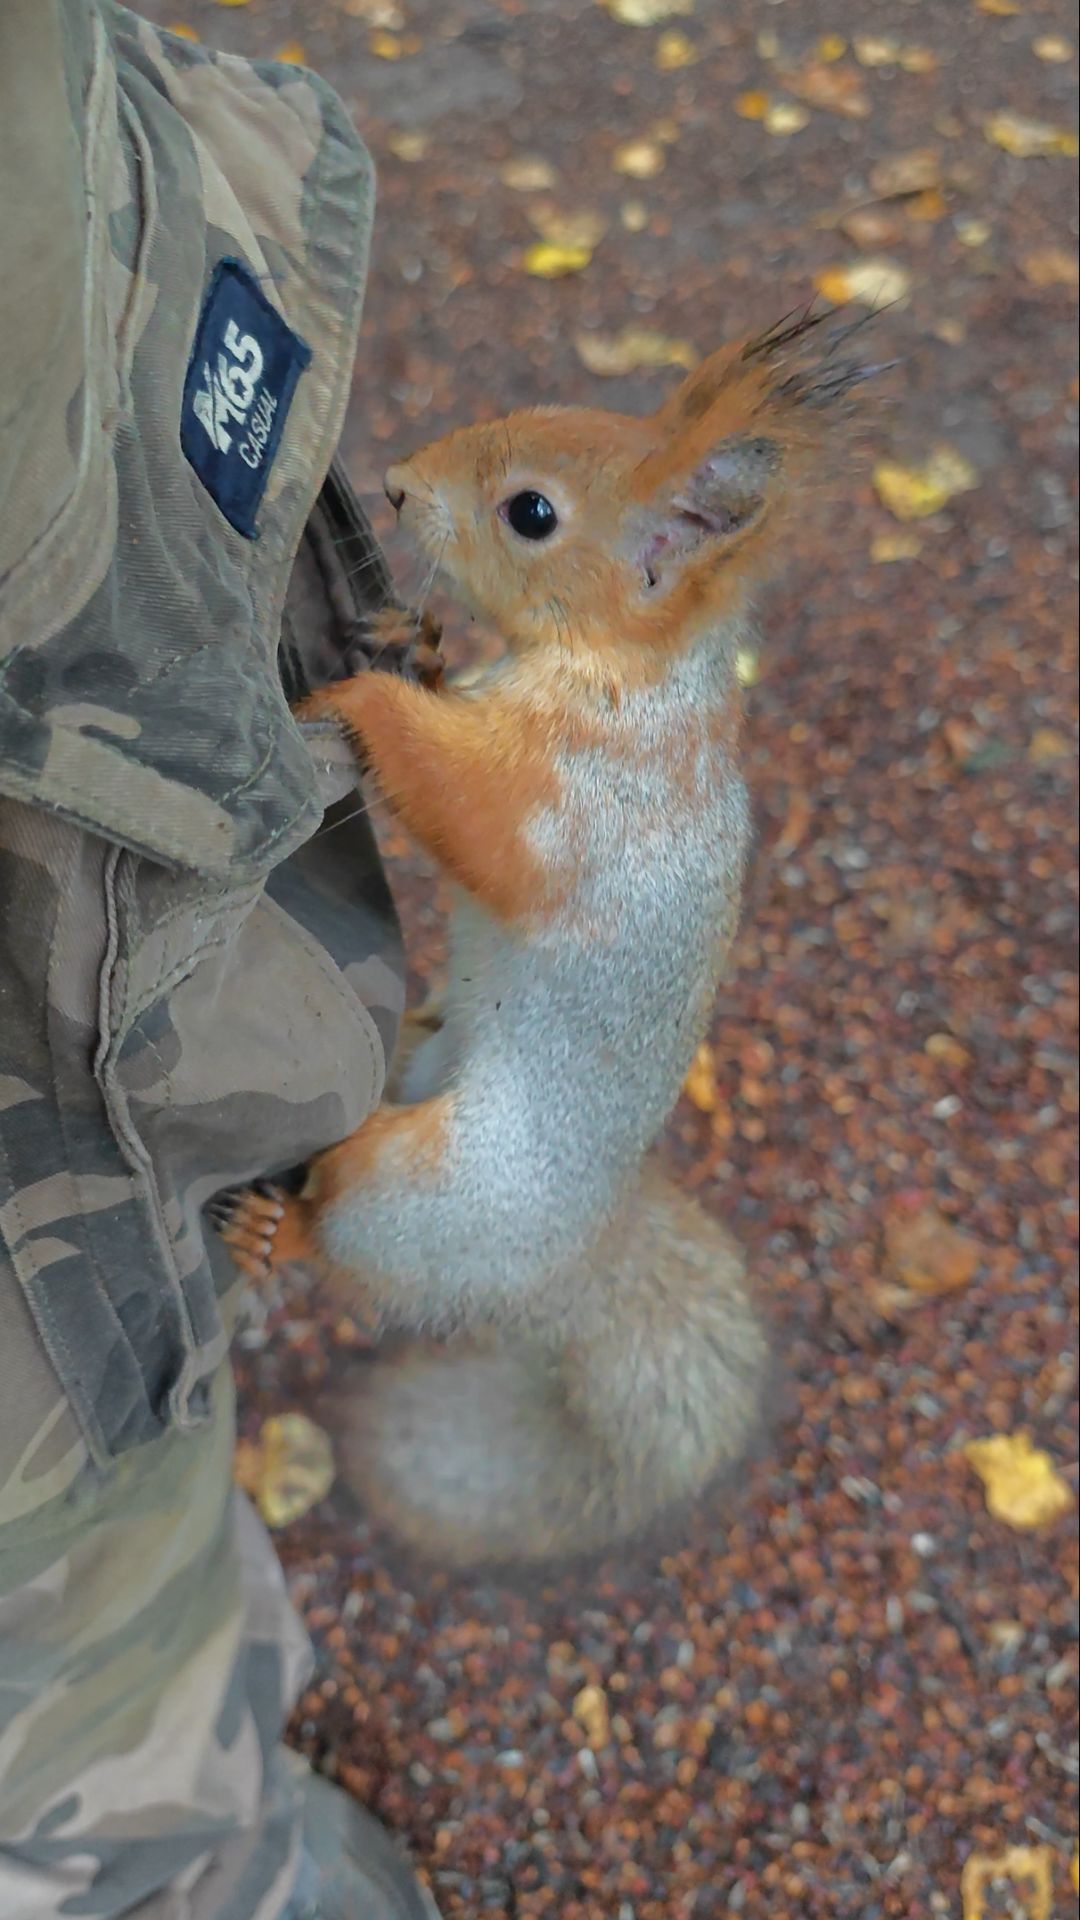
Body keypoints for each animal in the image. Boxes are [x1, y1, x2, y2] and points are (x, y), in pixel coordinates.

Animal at [215, 307, 877, 1567]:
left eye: (531, 513)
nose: (396, 485)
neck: (628, 673)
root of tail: (566, 1263)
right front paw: (411, 637)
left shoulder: (575, 803)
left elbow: (471, 814)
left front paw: (363, 697)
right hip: (418, 1049)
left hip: (426, 1194)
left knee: (351, 1235)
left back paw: (277, 1236)